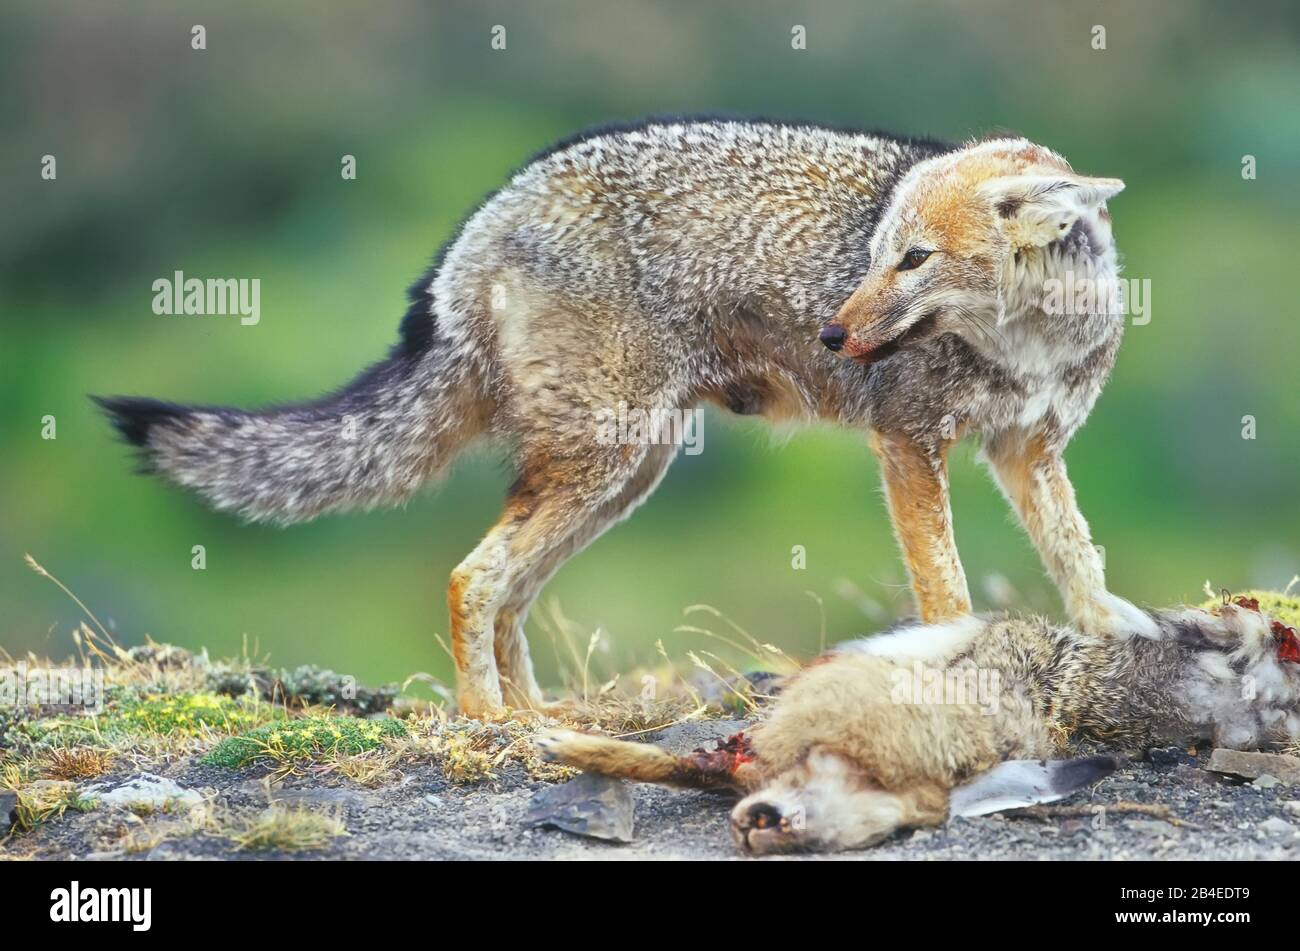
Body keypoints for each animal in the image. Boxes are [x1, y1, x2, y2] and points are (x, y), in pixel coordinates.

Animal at [96, 116, 1144, 711]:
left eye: (915, 259)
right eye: (878, 254)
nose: (832, 333)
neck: (1028, 340)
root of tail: (478, 223)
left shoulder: (1029, 450)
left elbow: (1078, 556)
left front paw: (1110, 629)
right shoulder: (909, 444)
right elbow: (948, 588)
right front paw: (947, 660)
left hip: (621, 474)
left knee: (508, 593)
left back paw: (541, 719)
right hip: (603, 462)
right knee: (473, 577)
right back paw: (488, 722)